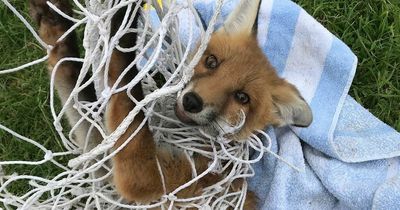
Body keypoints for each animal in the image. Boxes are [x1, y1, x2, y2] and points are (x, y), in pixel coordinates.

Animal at [30, 0, 312, 208]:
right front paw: (54, 24)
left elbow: (127, 87)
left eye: (242, 98)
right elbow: (69, 74)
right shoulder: (104, 167)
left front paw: (124, 19)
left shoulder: (146, 177)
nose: (192, 101)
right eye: (211, 62)